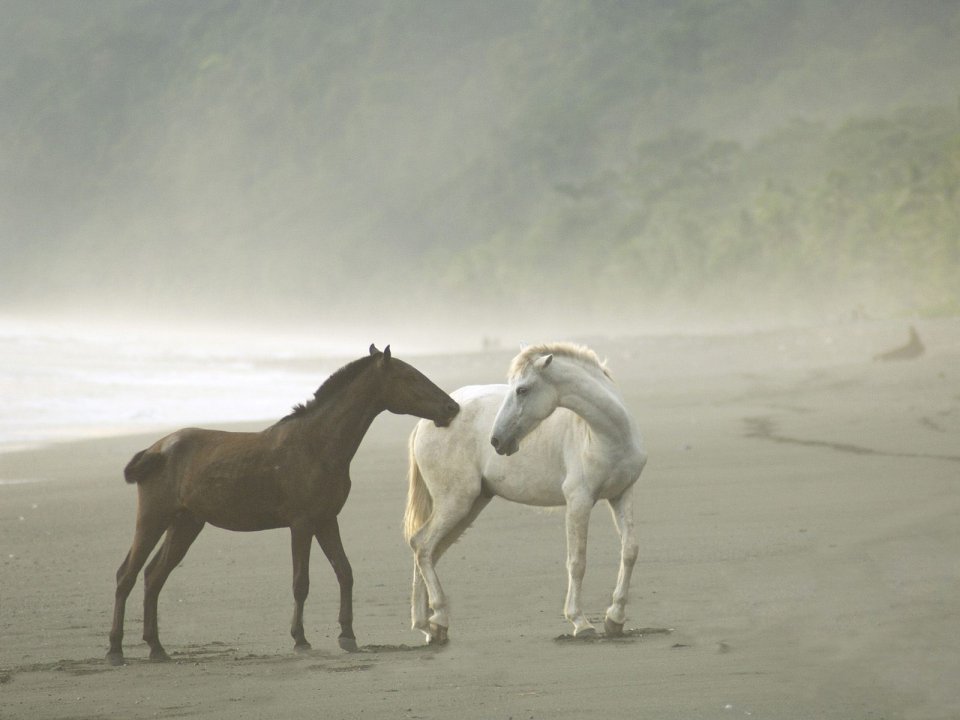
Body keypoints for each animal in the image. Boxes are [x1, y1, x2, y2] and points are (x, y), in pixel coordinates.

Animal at [107, 344, 459, 665]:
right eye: (409, 376)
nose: (451, 407)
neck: (317, 445)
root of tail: (156, 449)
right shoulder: (301, 523)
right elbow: (300, 582)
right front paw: (300, 640)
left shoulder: (326, 519)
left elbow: (344, 572)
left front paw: (348, 635)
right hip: (153, 517)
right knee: (127, 574)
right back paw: (115, 650)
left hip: (185, 524)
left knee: (153, 576)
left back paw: (156, 648)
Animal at [403, 342, 646, 644]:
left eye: (522, 389)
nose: (497, 440)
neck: (608, 436)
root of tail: (426, 423)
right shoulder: (579, 501)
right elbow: (577, 561)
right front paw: (580, 622)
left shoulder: (622, 494)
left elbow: (630, 551)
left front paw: (615, 618)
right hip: (456, 503)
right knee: (422, 546)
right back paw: (437, 619)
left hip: (470, 505)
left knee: (427, 550)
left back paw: (429, 625)